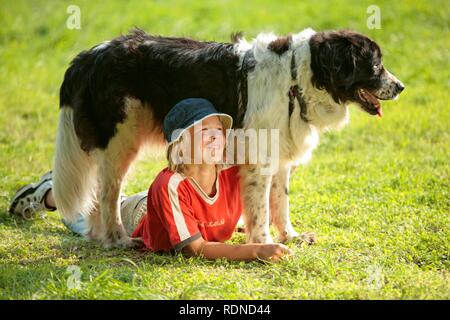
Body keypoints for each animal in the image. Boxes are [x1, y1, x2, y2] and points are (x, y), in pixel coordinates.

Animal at [52, 27, 404, 248]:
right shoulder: (259, 161)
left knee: (99, 196)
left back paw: (101, 237)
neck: (298, 80)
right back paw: (118, 240)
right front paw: (263, 244)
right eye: (376, 65)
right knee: (108, 195)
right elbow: (261, 209)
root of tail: (89, 56)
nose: (401, 87)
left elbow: (280, 203)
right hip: (120, 142)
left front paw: (290, 237)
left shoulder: (279, 157)